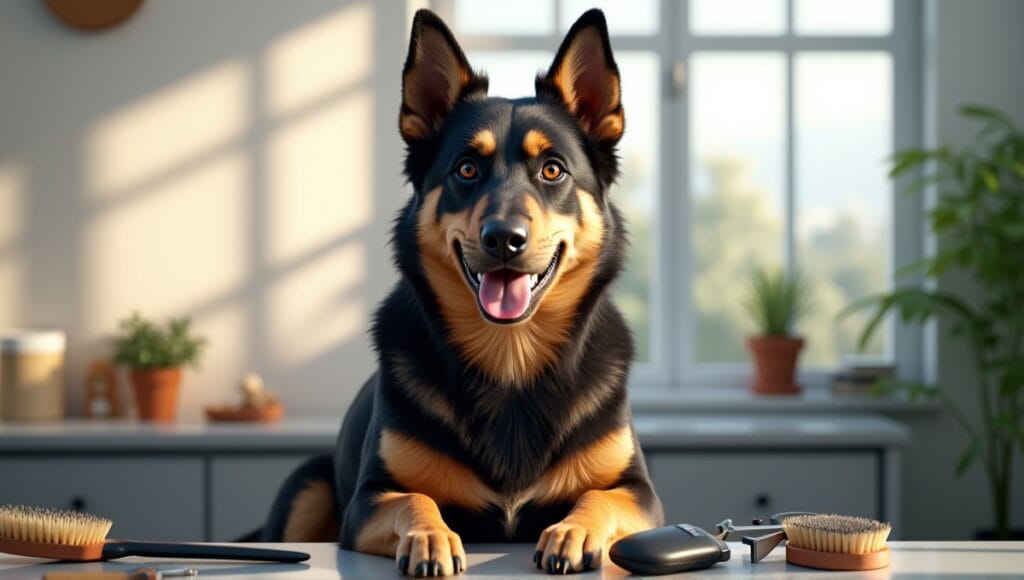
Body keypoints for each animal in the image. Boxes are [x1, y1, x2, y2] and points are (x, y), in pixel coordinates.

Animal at [262, 7, 663, 577]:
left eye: (553, 170)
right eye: (466, 169)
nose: (504, 239)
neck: (512, 361)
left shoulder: (640, 493)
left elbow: (599, 496)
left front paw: (572, 530)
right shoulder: (368, 500)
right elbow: (414, 497)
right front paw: (431, 537)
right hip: (307, 486)